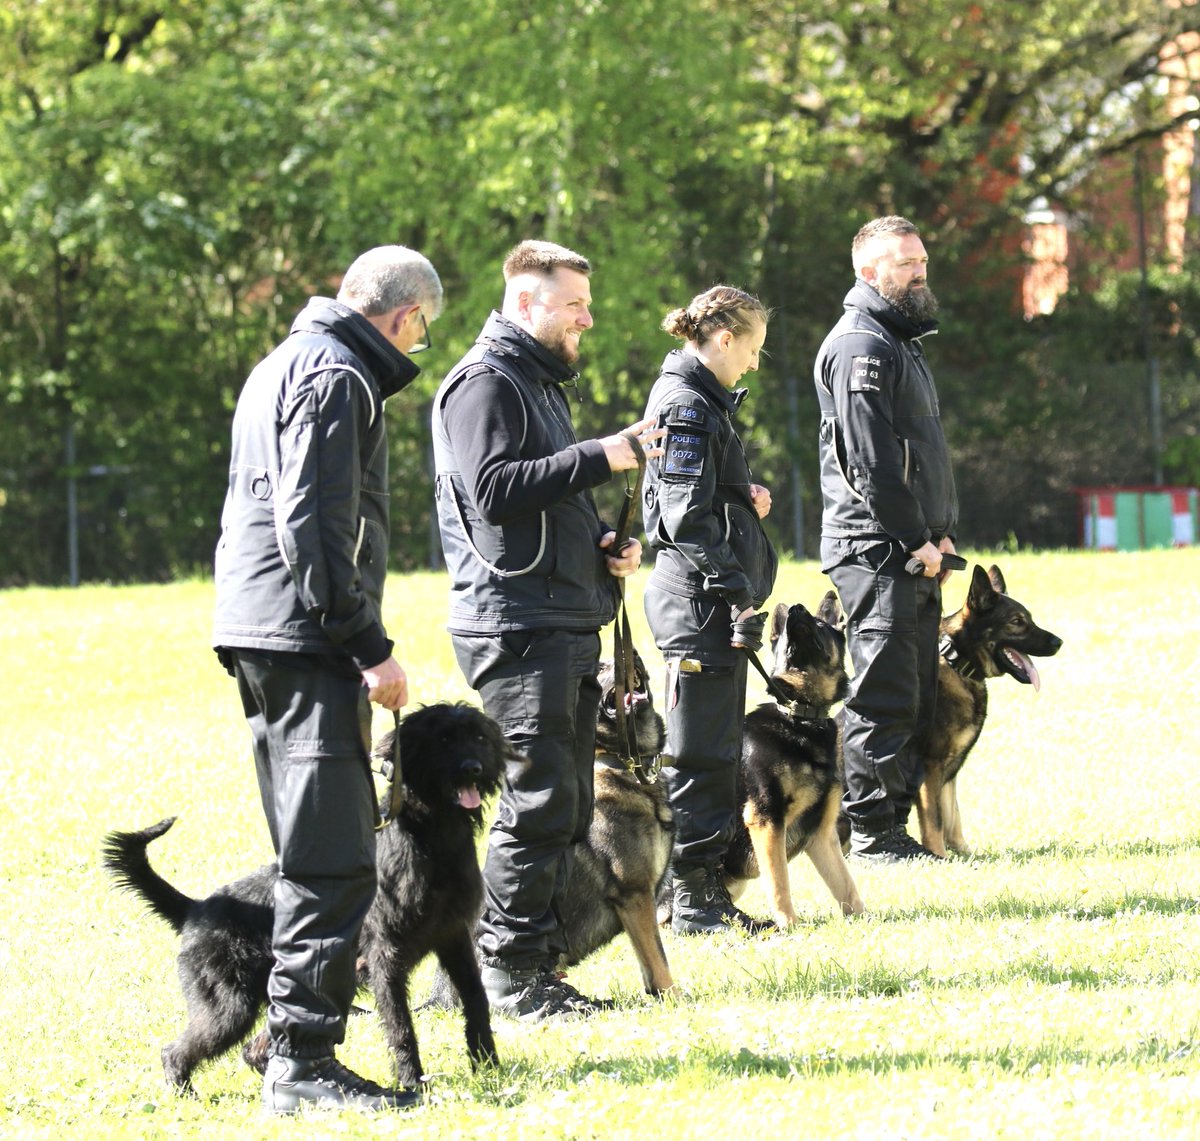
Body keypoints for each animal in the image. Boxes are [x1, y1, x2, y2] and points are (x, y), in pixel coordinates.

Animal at [104, 700, 511, 1094]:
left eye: (478, 737)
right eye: (443, 740)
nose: (473, 768)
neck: (432, 836)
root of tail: (196, 909)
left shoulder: (454, 937)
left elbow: (476, 1000)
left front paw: (490, 1066)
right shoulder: (385, 956)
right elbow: (399, 1025)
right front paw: (412, 1081)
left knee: (256, 1049)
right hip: (230, 1006)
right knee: (177, 1050)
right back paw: (185, 1091)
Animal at [720, 592, 864, 921]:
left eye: (821, 624)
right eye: (787, 628)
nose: (797, 610)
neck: (800, 718)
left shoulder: (822, 834)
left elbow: (848, 886)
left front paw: (864, 921)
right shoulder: (766, 821)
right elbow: (779, 882)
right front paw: (788, 923)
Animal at [916, 561, 1060, 854]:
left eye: (1030, 618)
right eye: (1017, 622)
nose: (1058, 643)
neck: (957, 662)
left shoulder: (950, 772)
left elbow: (952, 815)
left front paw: (963, 854)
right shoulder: (931, 766)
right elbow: (935, 821)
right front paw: (938, 856)